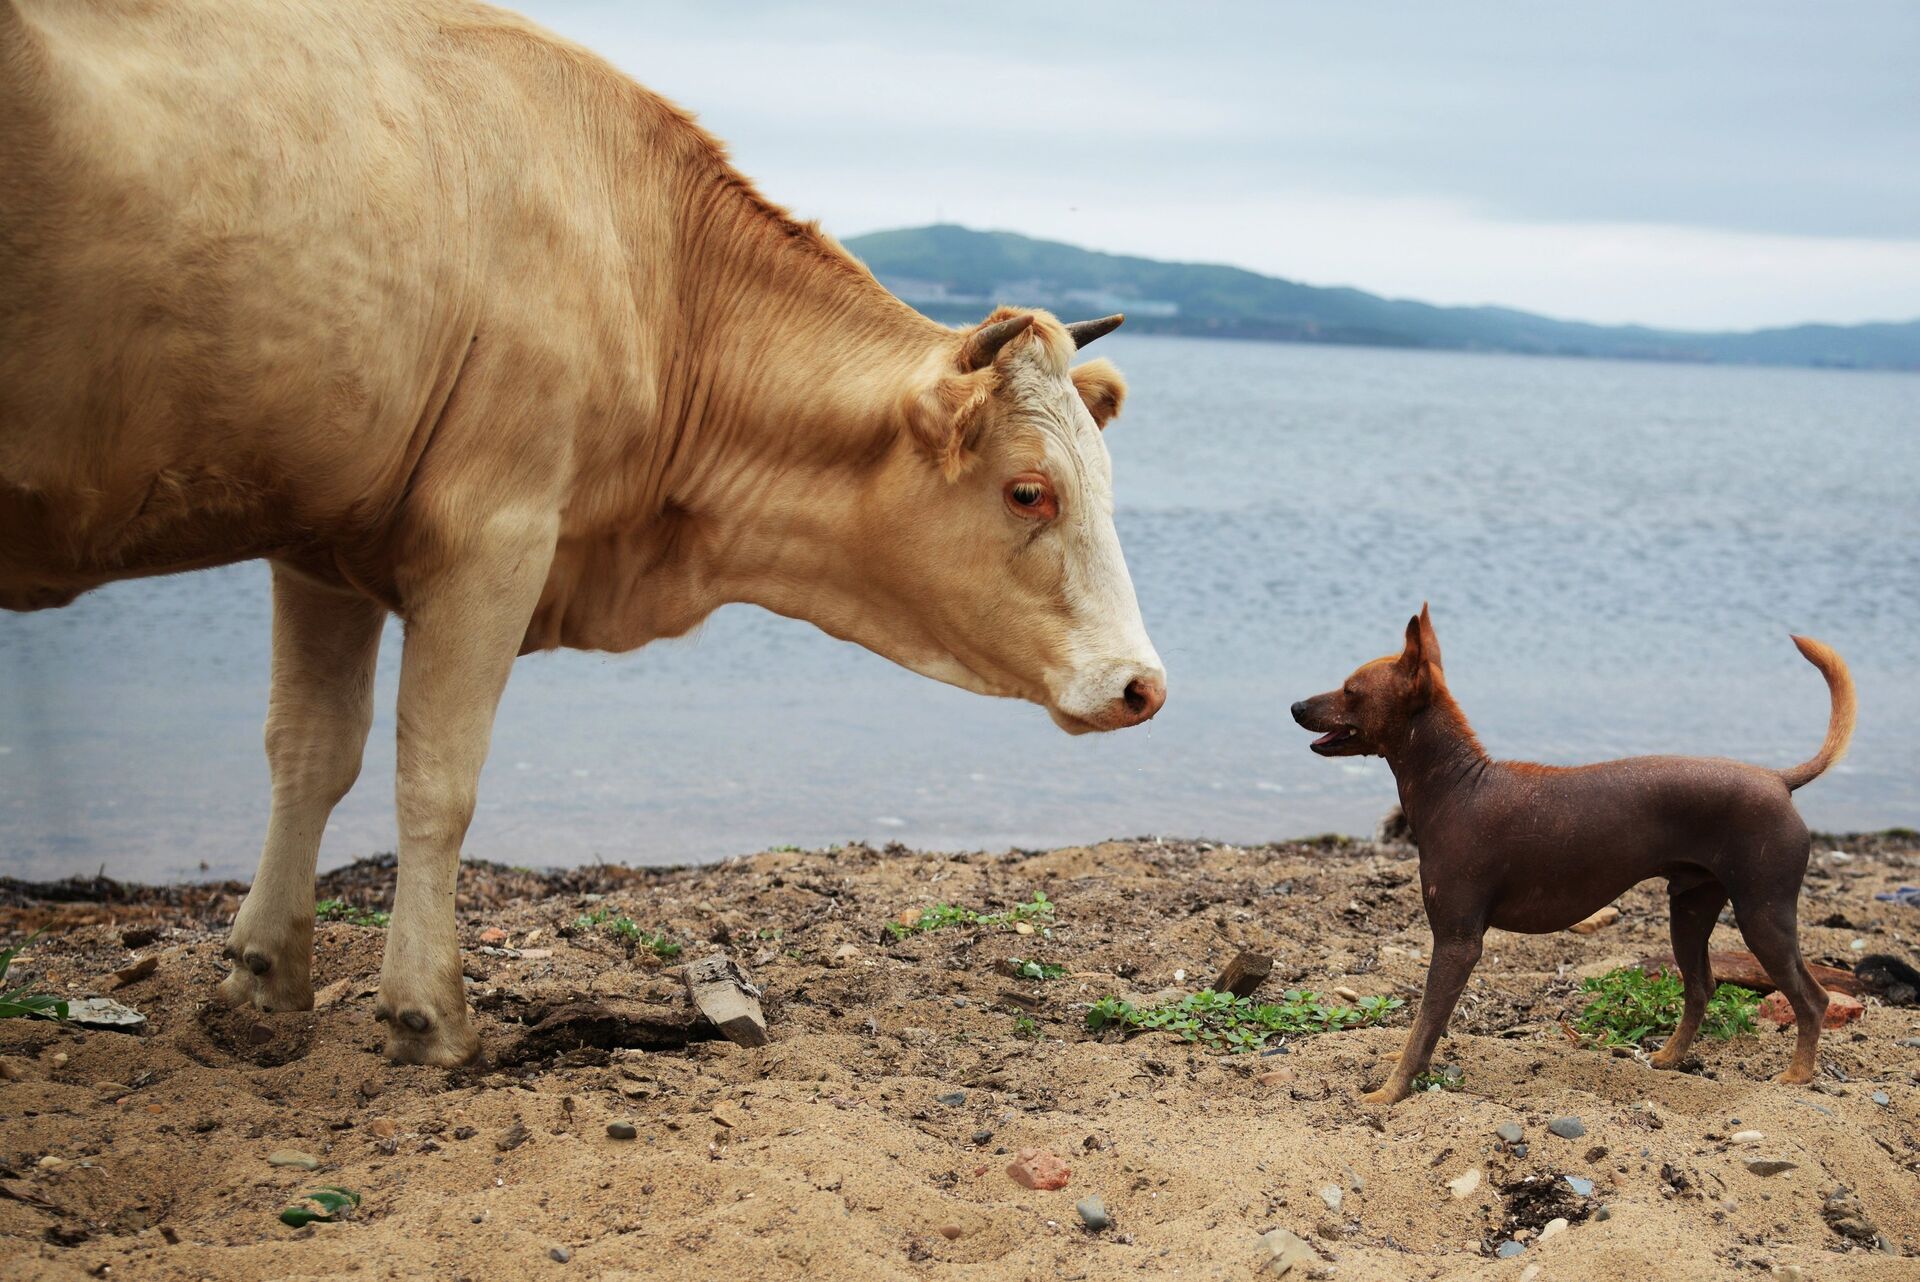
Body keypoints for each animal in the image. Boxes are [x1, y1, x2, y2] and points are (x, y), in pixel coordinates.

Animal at [0, 0, 1159, 1059]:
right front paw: (427, 1012)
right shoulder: (495, 534)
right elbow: (438, 773)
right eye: (1028, 491)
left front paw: (264, 974)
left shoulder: (319, 542)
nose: (1143, 684)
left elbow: (311, 750)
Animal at [1297, 610, 1850, 1105]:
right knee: (1702, 986)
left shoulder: (1457, 944)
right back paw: (1669, 1058)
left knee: (1813, 998)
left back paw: (1797, 1076)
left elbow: (1424, 1024)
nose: (1296, 705)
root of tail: (1777, 780)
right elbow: (1425, 1026)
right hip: (1690, 910)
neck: (1458, 787)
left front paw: (1390, 1092)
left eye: (1350, 690)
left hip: (1762, 915)